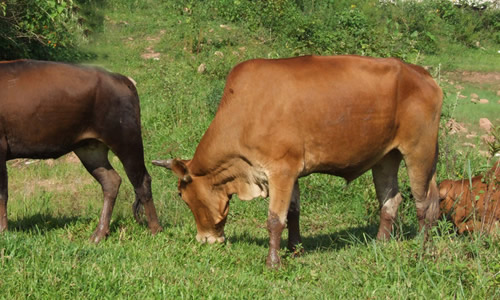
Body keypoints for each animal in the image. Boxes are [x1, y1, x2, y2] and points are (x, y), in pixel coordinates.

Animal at [0, 59, 162, 243]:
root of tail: (121, 79)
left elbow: (2, 194)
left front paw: (3, 232)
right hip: (89, 148)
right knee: (111, 181)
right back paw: (98, 234)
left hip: (126, 141)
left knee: (141, 180)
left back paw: (155, 230)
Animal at [152, 55, 442, 268]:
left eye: (183, 196)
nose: (205, 240)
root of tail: (421, 73)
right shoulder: (292, 173)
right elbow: (293, 213)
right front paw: (295, 250)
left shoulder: (281, 170)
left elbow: (274, 219)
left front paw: (273, 262)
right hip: (385, 157)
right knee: (391, 200)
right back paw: (379, 244)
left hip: (420, 150)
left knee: (425, 202)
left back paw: (423, 249)